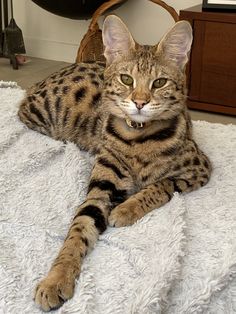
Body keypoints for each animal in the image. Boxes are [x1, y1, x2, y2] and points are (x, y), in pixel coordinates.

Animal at [17, 15, 211, 312]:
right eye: (126, 79)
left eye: (159, 82)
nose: (140, 102)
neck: (138, 138)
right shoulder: (100, 188)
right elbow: (78, 229)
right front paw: (56, 279)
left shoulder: (200, 169)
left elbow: (161, 185)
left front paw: (126, 209)